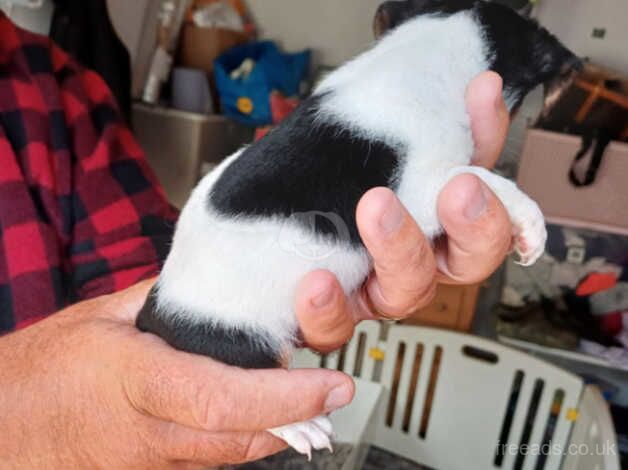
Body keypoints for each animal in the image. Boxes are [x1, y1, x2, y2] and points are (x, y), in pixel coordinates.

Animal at [136, 0, 580, 458]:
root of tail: (153, 312)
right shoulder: (425, 187)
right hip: (248, 341)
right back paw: (301, 424)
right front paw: (531, 225)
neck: (427, 47)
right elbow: (486, 181)